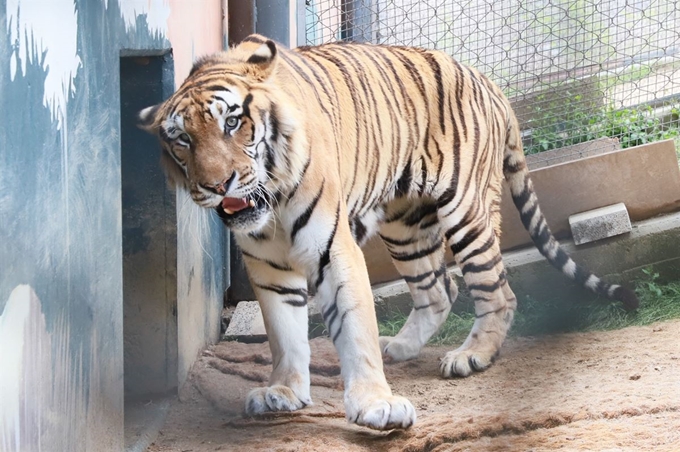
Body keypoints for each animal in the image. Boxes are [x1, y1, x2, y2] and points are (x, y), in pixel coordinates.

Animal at [138, 35, 636, 430]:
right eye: (182, 140)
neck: (270, 204)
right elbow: (284, 333)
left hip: (466, 211)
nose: (217, 186)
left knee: (497, 290)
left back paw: (471, 356)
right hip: (405, 227)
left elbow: (355, 330)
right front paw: (285, 391)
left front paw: (376, 404)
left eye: (232, 122)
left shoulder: (332, 249)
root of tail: (487, 79)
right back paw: (399, 347)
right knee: (439, 289)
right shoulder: (268, 267)